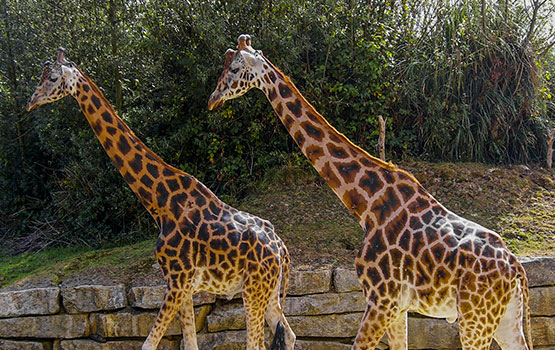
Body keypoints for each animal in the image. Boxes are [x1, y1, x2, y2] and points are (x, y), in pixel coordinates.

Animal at [27, 47, 296, 350]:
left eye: (52, 78)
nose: (30, 103)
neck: (160, 203)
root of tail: (282, 250)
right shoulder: (182, 285)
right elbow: (189, 343)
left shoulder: (177, 280)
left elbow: (149, 344)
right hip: (269, 291)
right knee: (288, 333)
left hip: (254, 288)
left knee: (256, 343)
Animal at [208, 34, 536, 350]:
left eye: (234, 69)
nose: (212, 99)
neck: (367, 205)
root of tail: (517, 270)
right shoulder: (398, 307)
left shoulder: (381, 298)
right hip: (504, 319)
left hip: (475, 317)